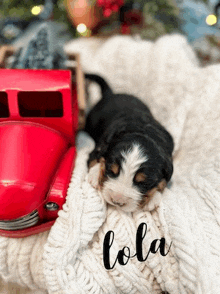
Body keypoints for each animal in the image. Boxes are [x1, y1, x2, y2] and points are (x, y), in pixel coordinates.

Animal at [84, 73, 174, 211]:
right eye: (112, 171)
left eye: (143, 183)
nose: (117, 201)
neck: (142, 130)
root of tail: (111, 94)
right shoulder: (100, 146)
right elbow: (96, 159)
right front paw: (95, 175)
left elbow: (163, 182)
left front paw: (153, 199)